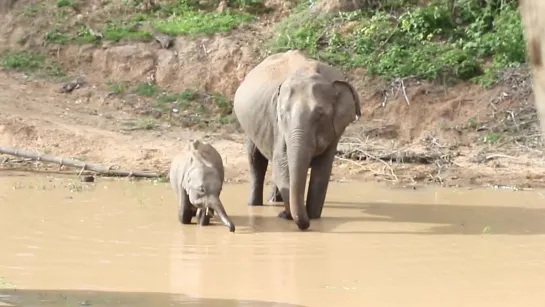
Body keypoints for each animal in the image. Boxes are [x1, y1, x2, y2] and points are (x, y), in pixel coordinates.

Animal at [232, 50, 360, 231]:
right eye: (283, 114)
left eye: (320, 115)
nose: (282, 215)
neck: (306, 72)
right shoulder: (278, 125)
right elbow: (282, 162)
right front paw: (288, 215)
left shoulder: (335, 132)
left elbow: (322, 171)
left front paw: (312, 217)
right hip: (250, 125)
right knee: (255, 158)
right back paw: (255, 205)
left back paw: (275, 201)